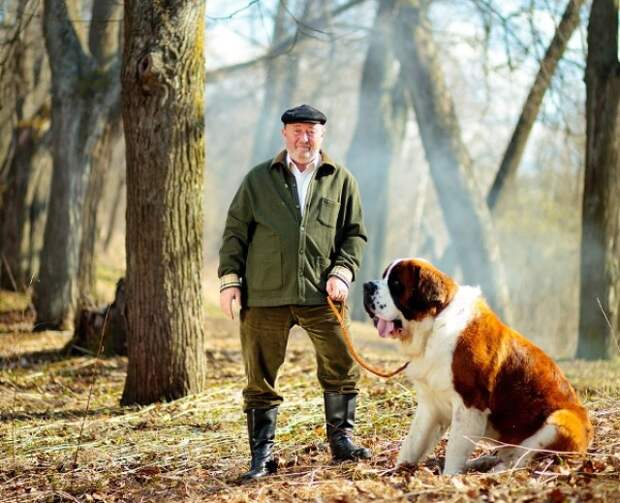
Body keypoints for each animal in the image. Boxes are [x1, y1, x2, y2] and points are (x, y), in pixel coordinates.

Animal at [364, 258, 592, 474]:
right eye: (384, 277)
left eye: (395, 284)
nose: (367, 285)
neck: (435, 323)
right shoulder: (431, 404)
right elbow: (413, 441)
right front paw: (397, 470)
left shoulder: (470, 404)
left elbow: (455, 448)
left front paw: (449, 478)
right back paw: (482, 462)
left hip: (560, 420)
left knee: (523, 460)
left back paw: (495, 471)